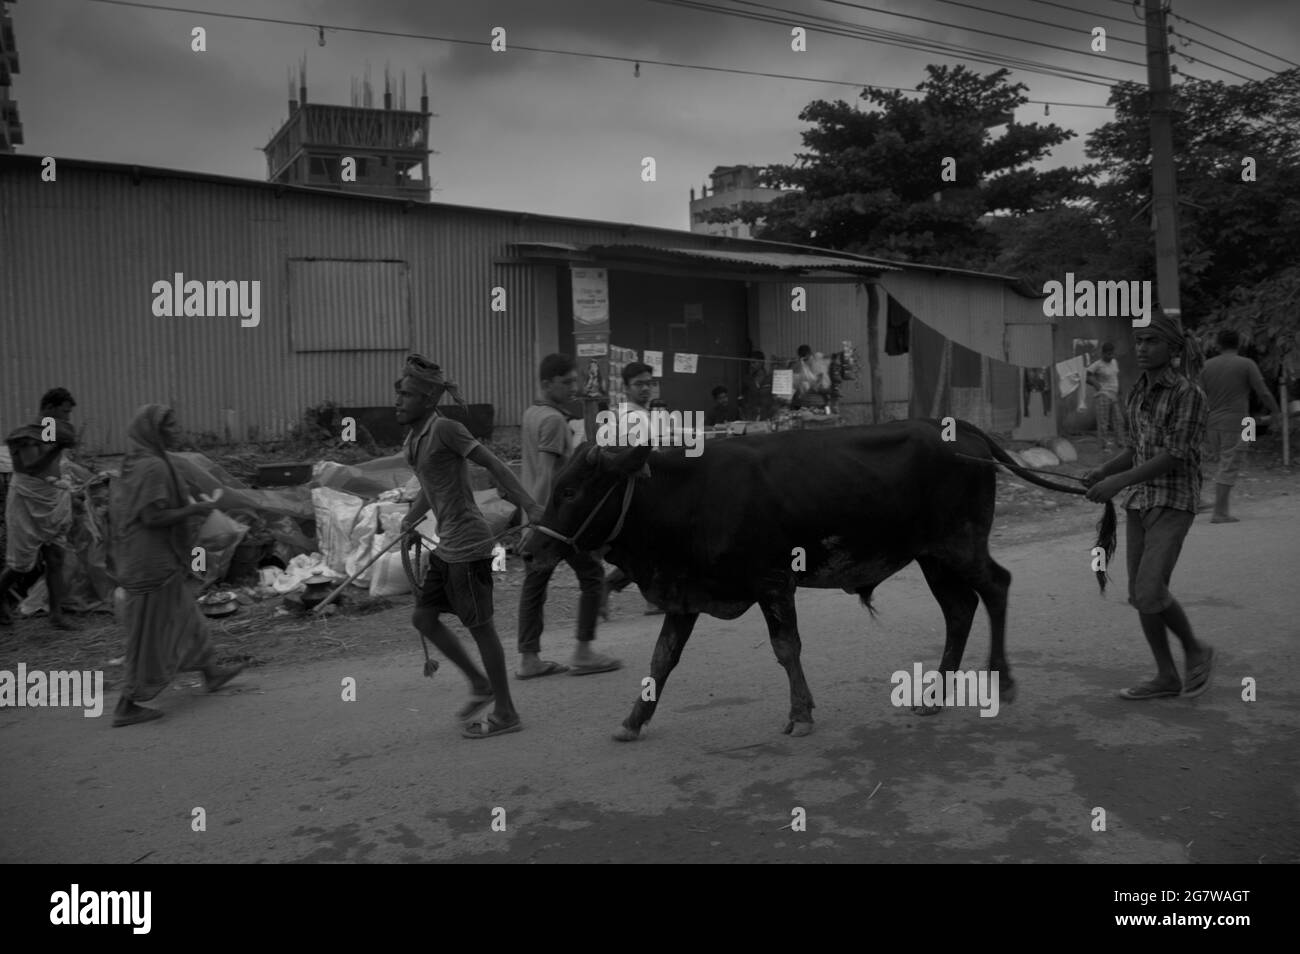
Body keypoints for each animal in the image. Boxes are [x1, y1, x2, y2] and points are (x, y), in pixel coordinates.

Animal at [522, 421, 1112, 748]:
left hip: (959, 545)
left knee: (995, 588)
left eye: (571, 490)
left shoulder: (773, 582)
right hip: (933, 556)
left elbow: (786, 648)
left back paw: (1001, 678)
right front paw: (633, 720)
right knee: (960, 609)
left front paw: (801, 715)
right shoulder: (686, 594)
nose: (530, 549)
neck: (687, 492)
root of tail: (965, 431)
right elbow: (661, 659)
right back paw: (934, 694)